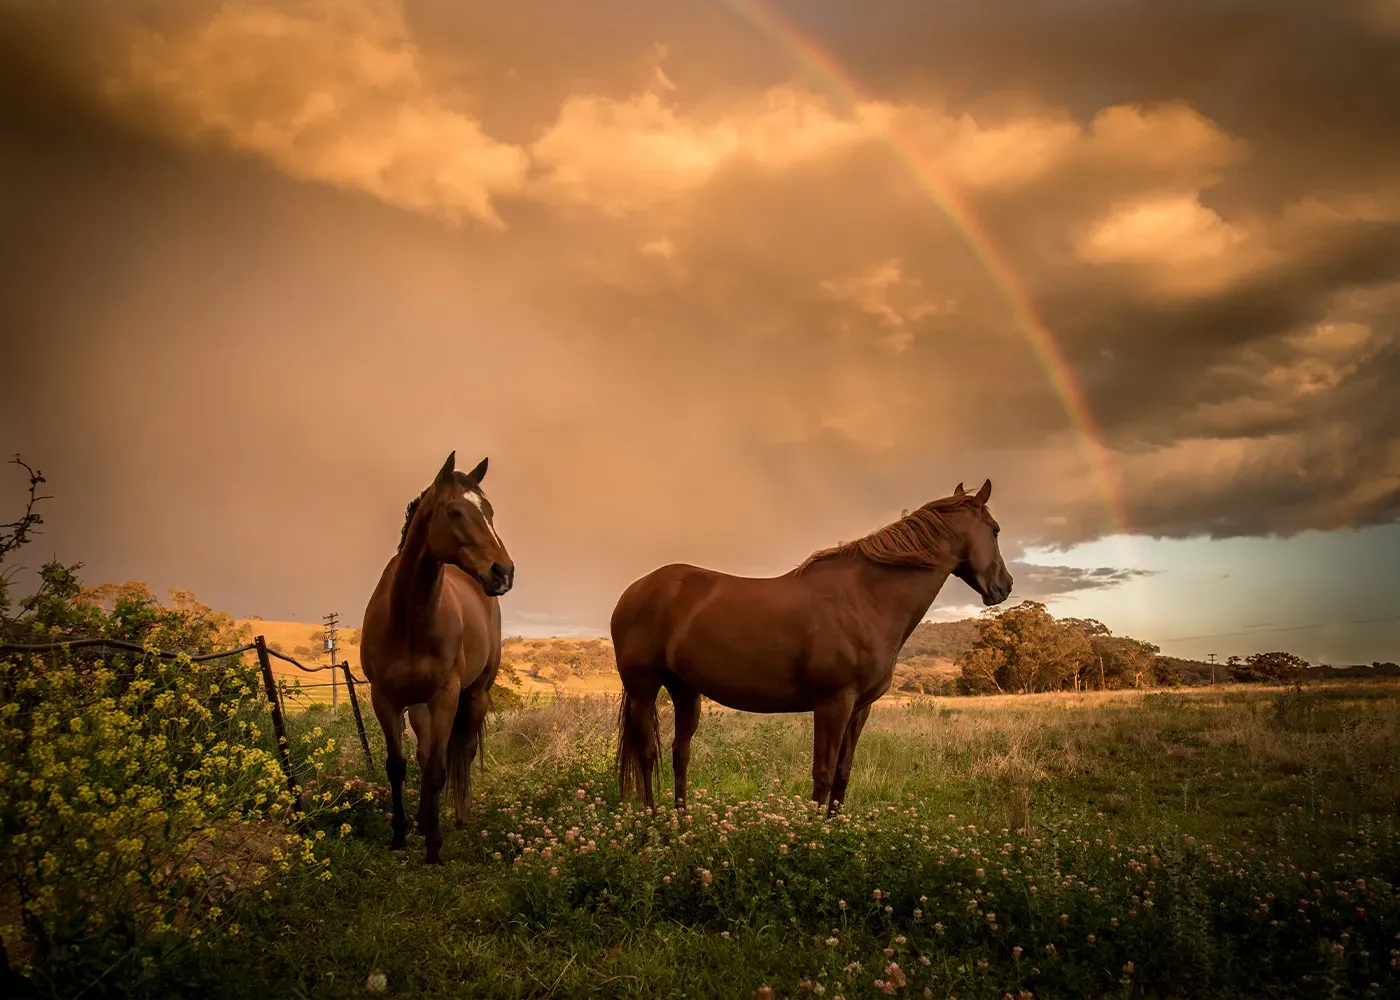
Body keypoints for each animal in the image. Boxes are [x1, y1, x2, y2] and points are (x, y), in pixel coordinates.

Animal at [360, 451, 515, 864]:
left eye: (491, 512)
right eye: (455, 511)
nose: (504, 572)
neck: (409, 619)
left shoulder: (446, 696)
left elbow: (437, 770)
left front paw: (434, 845)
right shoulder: (385, 699)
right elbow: (398, 766)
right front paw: (400, 834)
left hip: (475, 695)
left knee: (463, 752)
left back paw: (457, 816)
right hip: (419, 707)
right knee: (424, 752)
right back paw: (420, 819)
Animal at [612, 479, 1012, 815]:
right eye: (995, 530)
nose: (1004, 586)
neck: (868, 598)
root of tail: (632, 591)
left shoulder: (859, 708)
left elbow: (842, 774)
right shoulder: (833, 703)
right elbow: (822, 774)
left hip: (685, 691)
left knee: (680, 754)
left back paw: (681, 825)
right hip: (644, 690)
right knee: (648, 755)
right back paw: (652, 825)